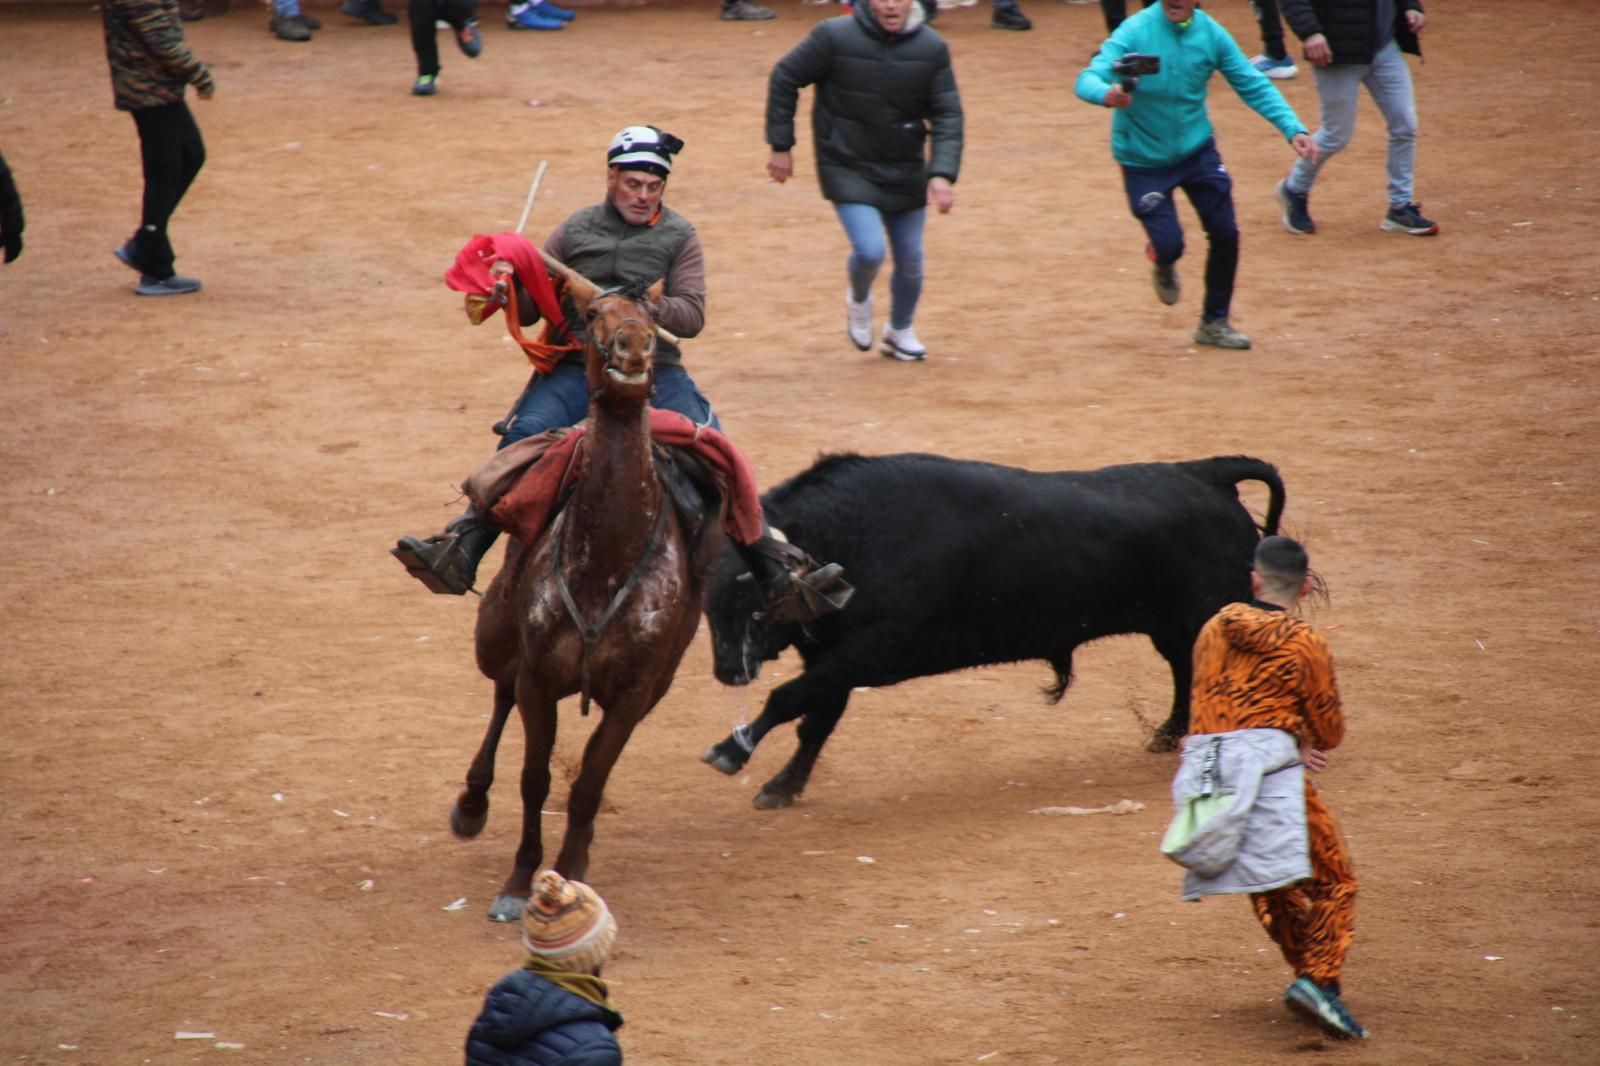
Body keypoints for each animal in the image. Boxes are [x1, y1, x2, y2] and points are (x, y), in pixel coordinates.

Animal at [448, 271, 728, 922]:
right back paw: (471, 804)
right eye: (595, 313)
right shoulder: (538, 677)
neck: (606, 561)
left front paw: (573, 871)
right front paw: (519, 881)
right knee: (499, 695)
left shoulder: (634, 694)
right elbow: (534, 778)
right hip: (494, 637)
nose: (634, 348)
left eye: (655, 317)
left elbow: (589, 785)